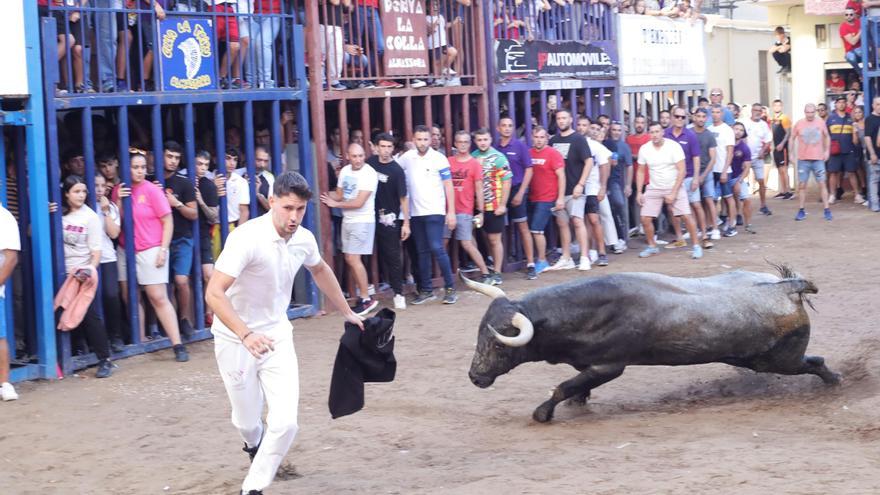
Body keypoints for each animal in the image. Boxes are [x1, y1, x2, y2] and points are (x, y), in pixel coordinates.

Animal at [460, 266, 840, 424]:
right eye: (479, 334)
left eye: (500, 346)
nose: (475, 377)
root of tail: (788, 287)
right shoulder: (588, 367)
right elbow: (576, 387)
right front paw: (577, 402)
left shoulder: (609, 367)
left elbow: (562, 387)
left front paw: (543, 413)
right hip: (753, 360)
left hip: (778, 361)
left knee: (816, 361)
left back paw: (835, 381)